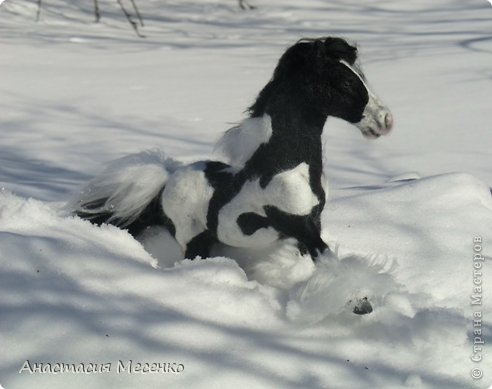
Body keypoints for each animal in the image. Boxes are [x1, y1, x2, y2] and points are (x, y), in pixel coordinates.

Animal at [70, 36, 392, 264]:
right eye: (346, 82)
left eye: (359, 74)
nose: (385, 121)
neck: (287, 167)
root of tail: (165, 182)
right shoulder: (299, 225)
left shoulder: (313, 222)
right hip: (193, 238)